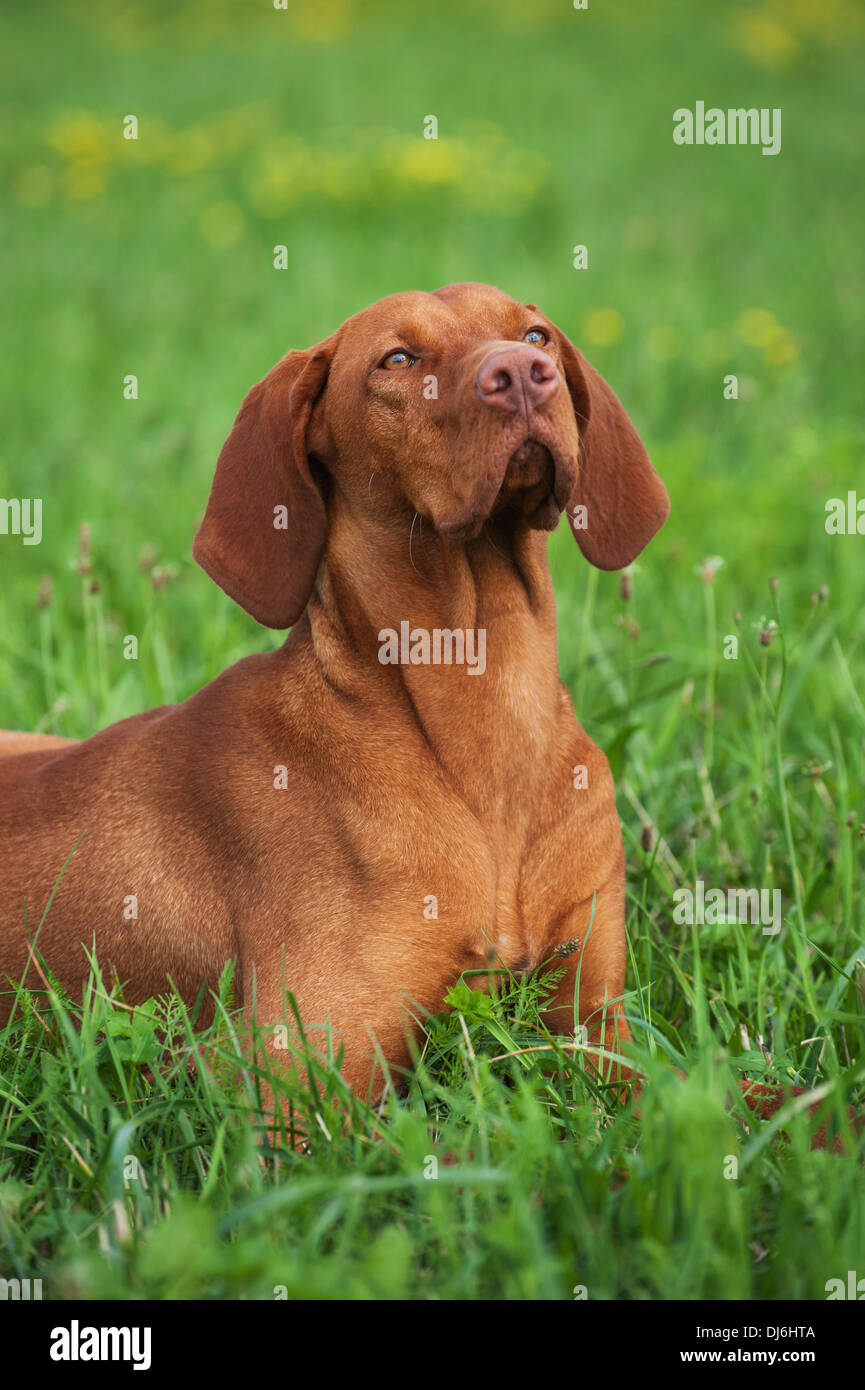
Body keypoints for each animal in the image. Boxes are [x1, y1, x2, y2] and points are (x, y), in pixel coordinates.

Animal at [0, 279, 845, 1139]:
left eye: (533, 334)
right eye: (398, 360)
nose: (524, 375)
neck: (486, 703)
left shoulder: (594, 1030)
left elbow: (770, 1100)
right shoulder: (302, 1091)